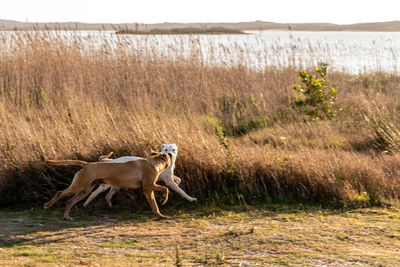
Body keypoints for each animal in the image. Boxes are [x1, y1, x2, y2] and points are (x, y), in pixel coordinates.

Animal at [44, 152, 172, 221]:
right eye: (168, 156)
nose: (171, 154)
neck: (154, 162)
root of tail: (87, 164)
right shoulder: (149, 186)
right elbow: (165, 189)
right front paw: (164, 199)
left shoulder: (148, 190)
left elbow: (154, 205)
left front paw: (160, 215)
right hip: (78, 186)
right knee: (60, 193)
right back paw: (48, 205)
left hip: (84, 190)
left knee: (70, 201)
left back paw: (66, 217)